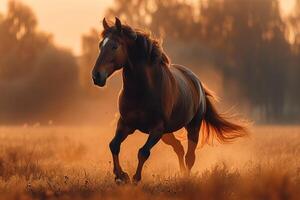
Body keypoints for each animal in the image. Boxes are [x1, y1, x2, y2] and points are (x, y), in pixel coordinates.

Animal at [92, 18, 248, 184]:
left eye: (114, 46)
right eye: (100, 45)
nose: (96, 76)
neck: (142, 90)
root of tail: (197, 82)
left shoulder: (156, 128)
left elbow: (143, 152)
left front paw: (135, 178)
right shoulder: (126, 124)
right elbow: (114, 145)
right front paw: (121, 175)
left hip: (192, 127)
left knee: (190, 156)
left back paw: (186, 177)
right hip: (167, 134)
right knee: (179, 148)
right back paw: (182, 172)